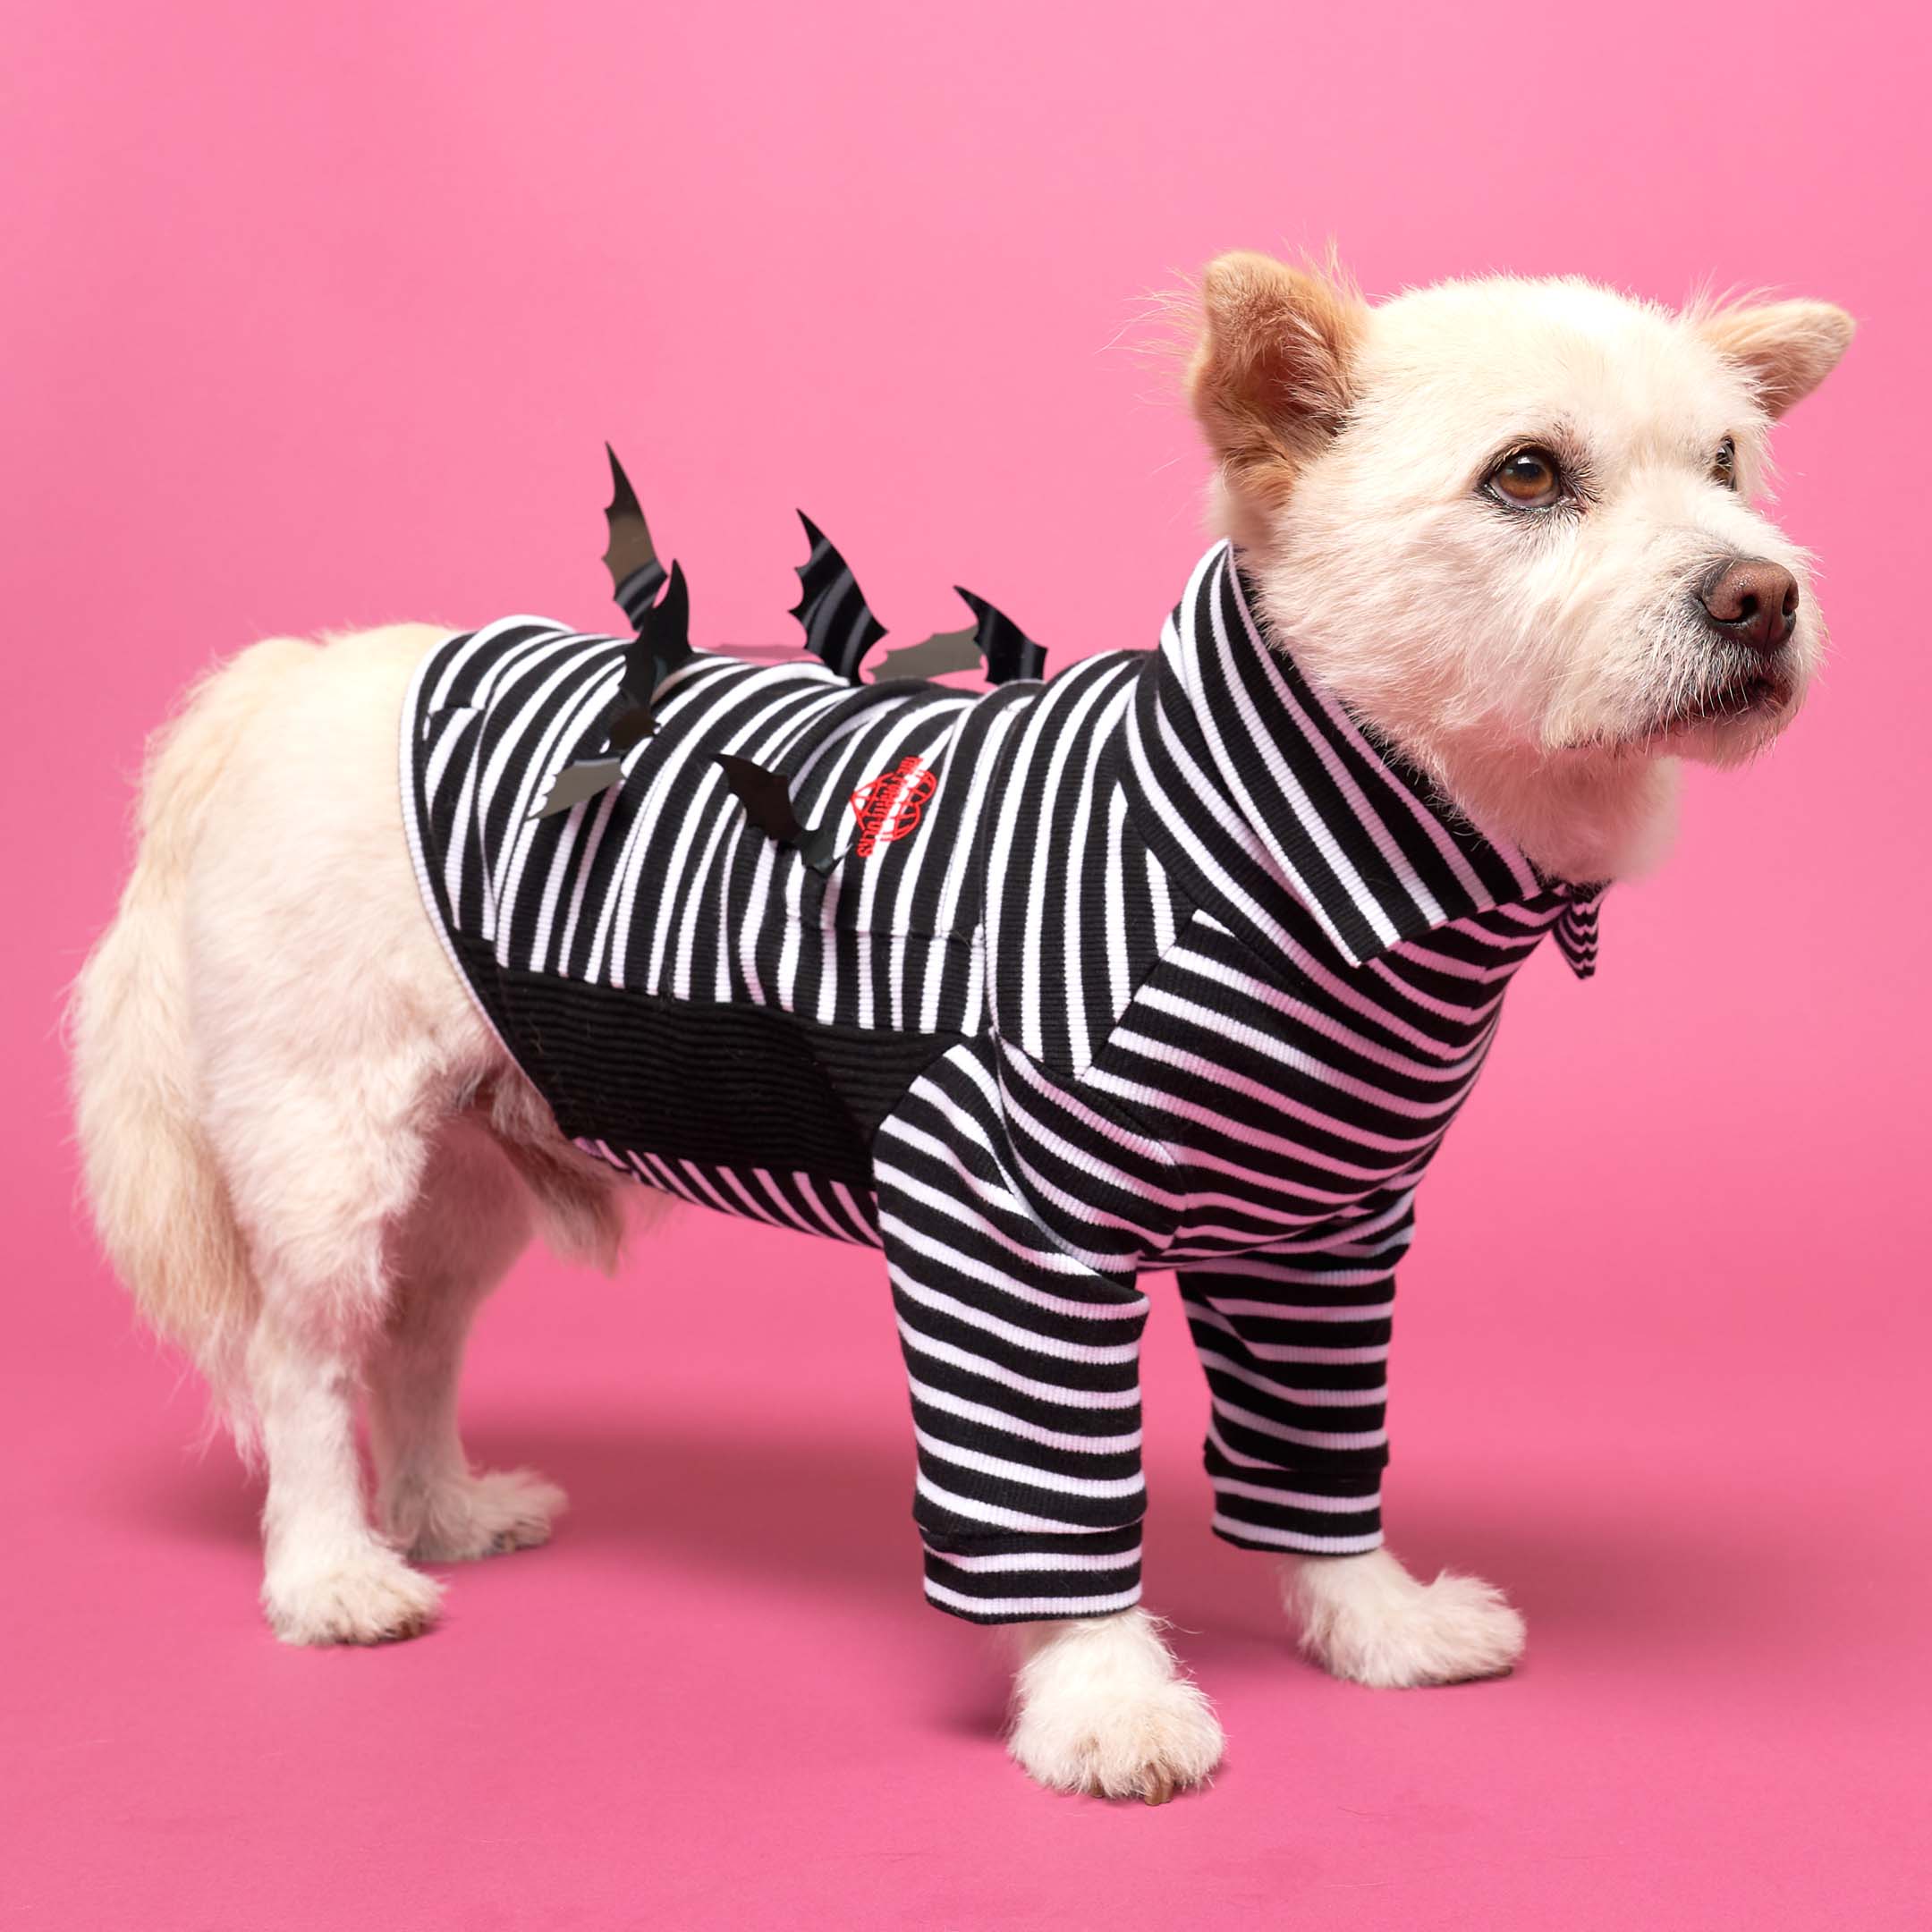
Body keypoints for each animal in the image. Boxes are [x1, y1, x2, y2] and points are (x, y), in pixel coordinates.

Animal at [68, 252, 1846, 1792]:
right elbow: (1051, 1503)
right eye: (1528, 477)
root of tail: (285, 683)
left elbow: (1319, 1464)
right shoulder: (1001, 1225)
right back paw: (335, 1570)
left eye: (1730, 462)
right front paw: (1105, 1700)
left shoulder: (1322, 1239)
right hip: (330, 1148)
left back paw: (438, 1509)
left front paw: (1371, 1624)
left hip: (471, 1160)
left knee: (417, 1340)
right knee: (307, 1361)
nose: (1760, 594)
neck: (1298, 841)